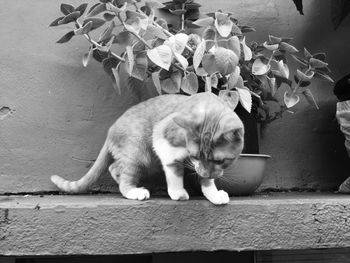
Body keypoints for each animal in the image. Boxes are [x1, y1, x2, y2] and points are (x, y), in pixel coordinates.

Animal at [50, 93, 245, 206]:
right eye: (195, 155)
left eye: (220, 161)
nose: (204, 172)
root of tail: (111, 129)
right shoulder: (161, 138)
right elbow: (174, 169)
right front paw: (177, 192)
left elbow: (207, 180)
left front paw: (213, 194)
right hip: (137, 152)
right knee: (124, 177)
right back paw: (134, 191)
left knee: (114, 168)